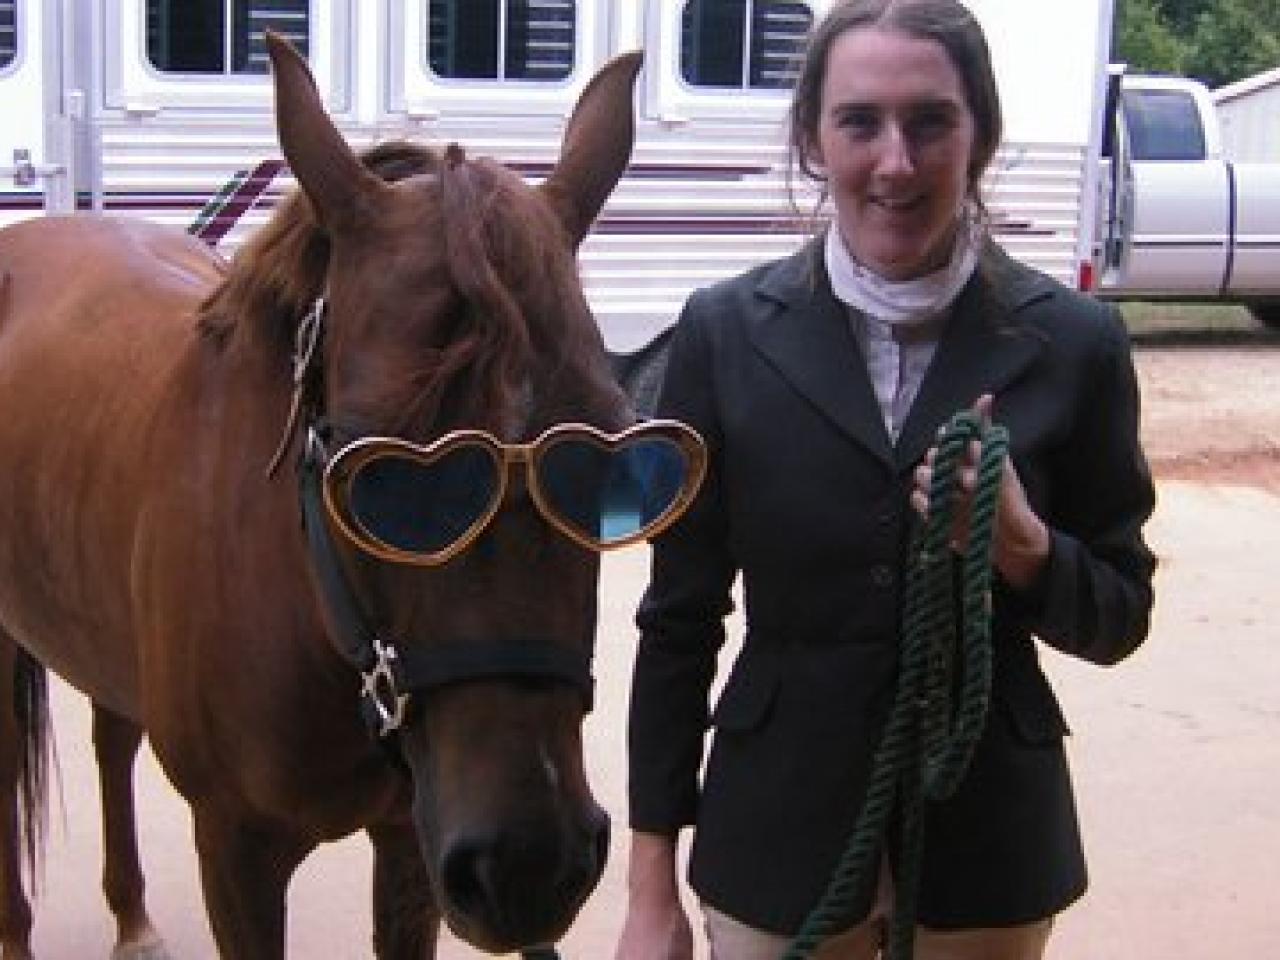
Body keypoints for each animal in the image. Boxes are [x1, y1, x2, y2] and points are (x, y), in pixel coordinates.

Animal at [0, 33, 670, 957]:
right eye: (369, 465)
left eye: (605, 449)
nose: (531, 868)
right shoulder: (236, 853)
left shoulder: (410, 845)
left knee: (111, 735)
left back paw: (132, 918)